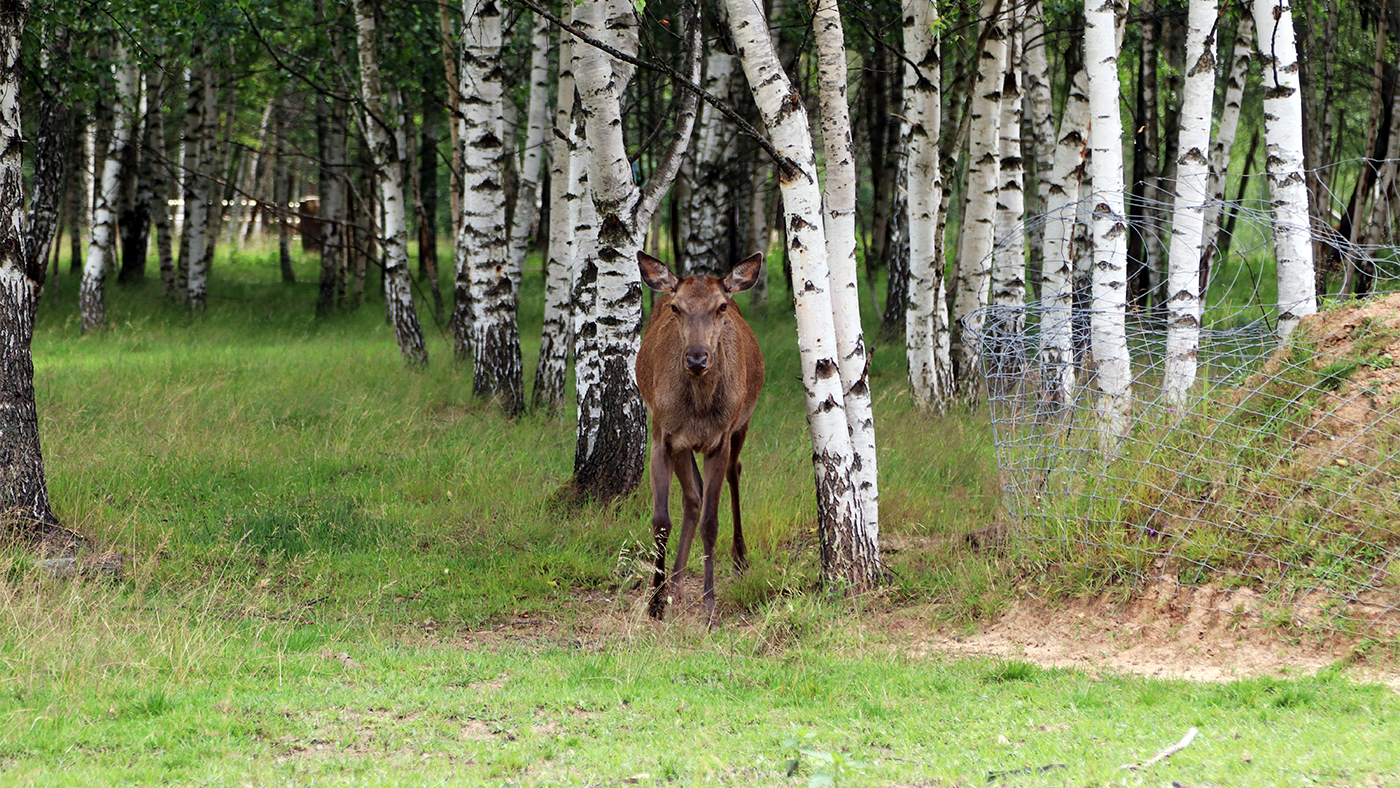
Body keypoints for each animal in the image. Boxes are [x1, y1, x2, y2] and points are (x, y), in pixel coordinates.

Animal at [638, 249, 767, 627]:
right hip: (682, 445)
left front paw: (710, 607)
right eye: (676, 307)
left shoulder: (719, 440)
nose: (697, 358)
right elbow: (661, 521)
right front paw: (655, 600)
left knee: (735, 472)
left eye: (720, 306)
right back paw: (676, 583)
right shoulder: (663, 436)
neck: (697, 410)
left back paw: (740, 558)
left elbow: (712, 521)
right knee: (692, 497)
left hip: (742, 422)